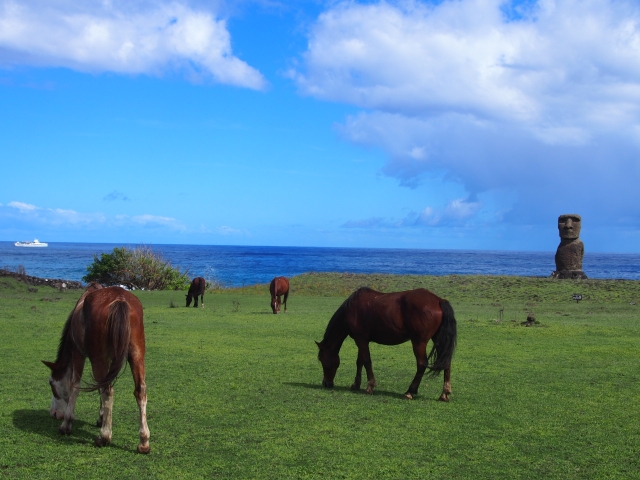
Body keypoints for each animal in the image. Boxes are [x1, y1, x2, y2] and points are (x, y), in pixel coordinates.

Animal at [42, 284, 150, 454]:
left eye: (51, 383)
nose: (54, 413)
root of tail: (120, 299)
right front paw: (101, 418)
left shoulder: (78, 353)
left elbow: (75, 386)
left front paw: (66, 424)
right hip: (137, 354)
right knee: (140, 391)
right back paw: (144, 442)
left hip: (99, 357)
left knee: (108, 391)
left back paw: (104, 437)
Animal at [316, 288, 456, 402]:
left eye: (322, 359)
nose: (326, 383)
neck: (351, 309)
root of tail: (439, 300)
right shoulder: (362, 340)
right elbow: (360, 361)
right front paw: (356, 385)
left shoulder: (361, 340)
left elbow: (367, 361)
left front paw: (370, 386)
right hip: (438, 339)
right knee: (446, 362)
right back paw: (444, 394)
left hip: (418, 342)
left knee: (422, 364)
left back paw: (410, 392)